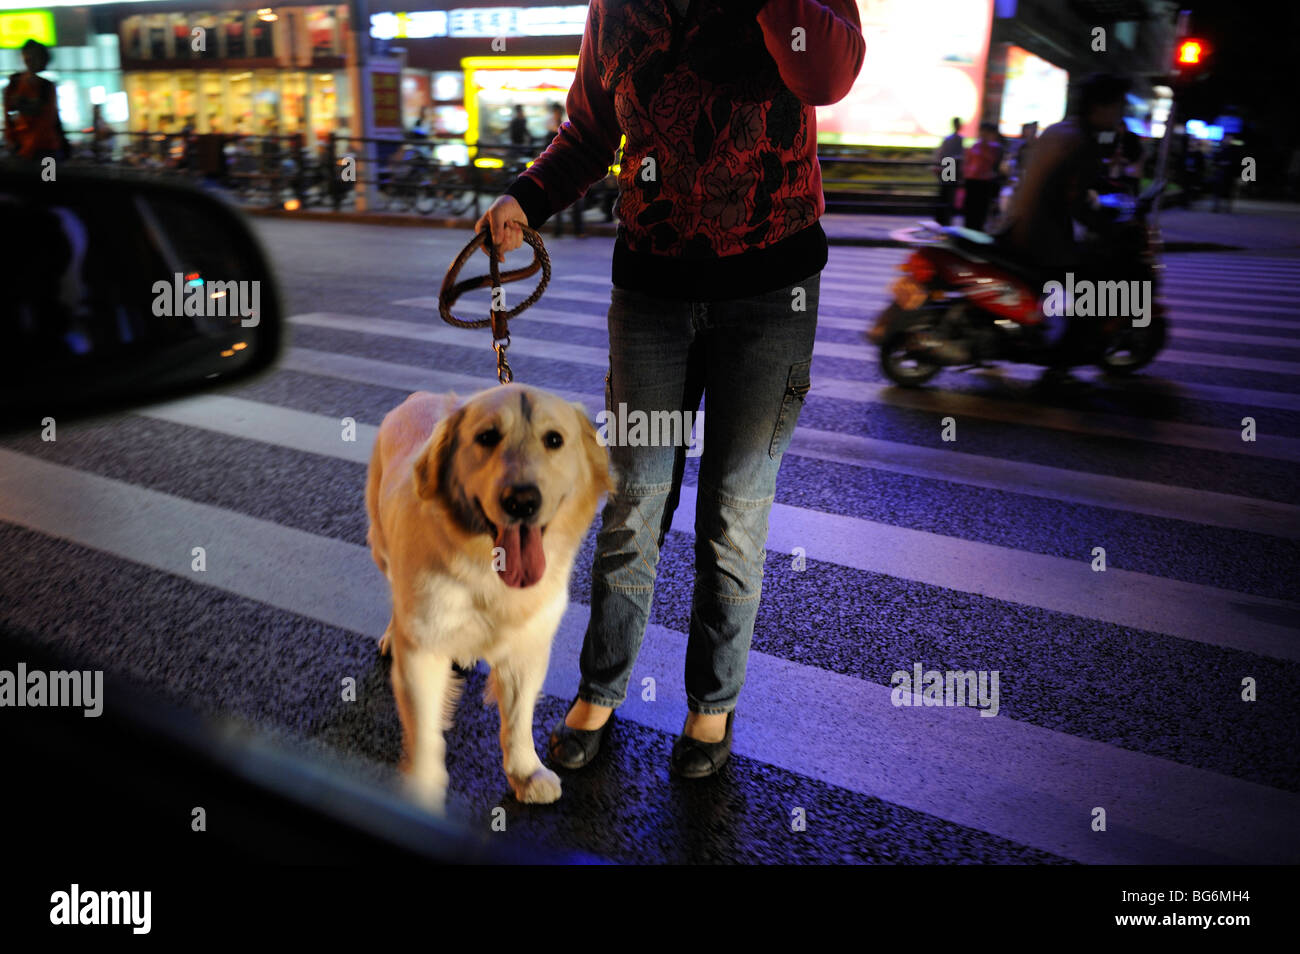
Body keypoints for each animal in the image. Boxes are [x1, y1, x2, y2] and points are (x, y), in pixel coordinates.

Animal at [364, 384, 611, 816]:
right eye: (487, 437)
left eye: (554, 440)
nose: (522, 501)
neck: (485, 568)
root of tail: (421, 394)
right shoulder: (423, 651)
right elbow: (426, 731)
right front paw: (421, 792)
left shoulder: (528, 649)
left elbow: (518, 721)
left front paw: (526, 773)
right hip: (381, 545)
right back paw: (394, 633)